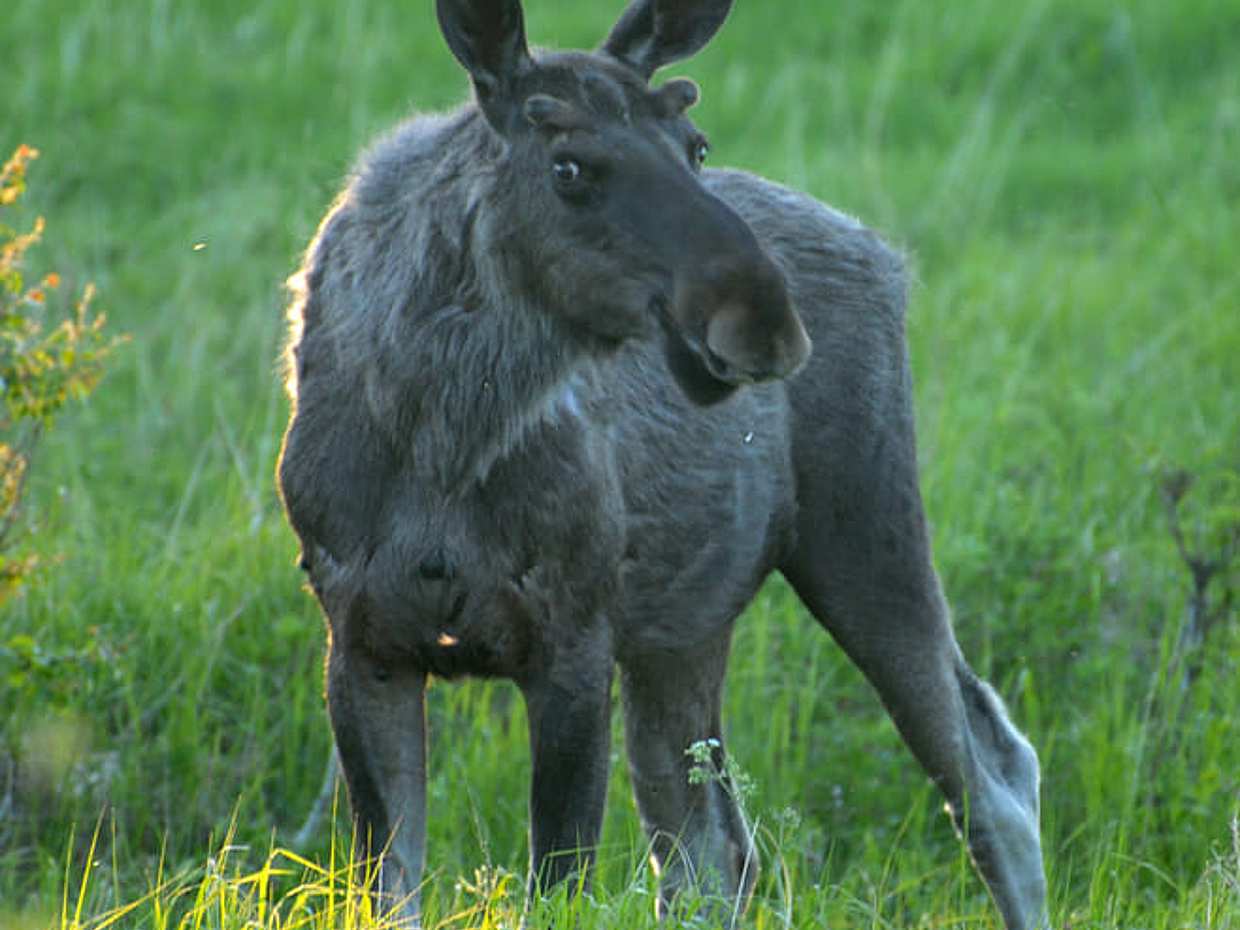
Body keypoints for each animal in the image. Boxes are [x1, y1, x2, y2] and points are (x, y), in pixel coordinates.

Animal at [276, 1, 1049, 927]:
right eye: (569, 165)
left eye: (696, 145)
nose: (763, 316)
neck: (437, 432)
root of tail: (884, 255)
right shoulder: (363, 637)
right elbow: (388, 890)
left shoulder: (572, 636)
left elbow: (557, 884)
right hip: (684, 630)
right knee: (713, 852)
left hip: (864, 529)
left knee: (990, 773)